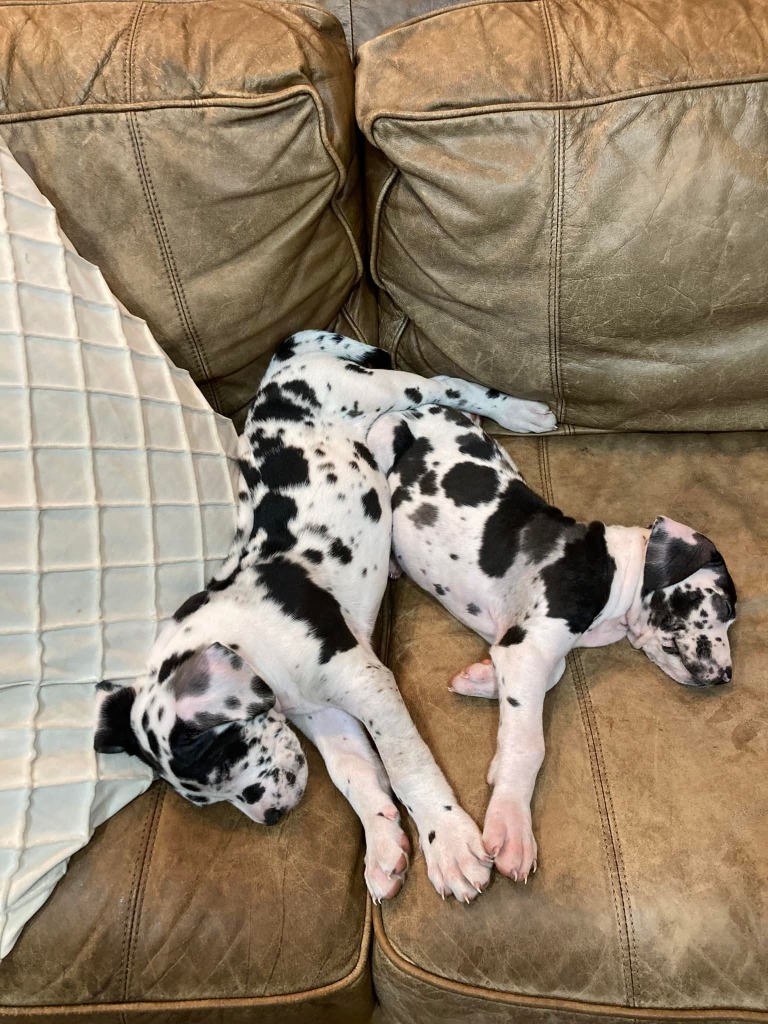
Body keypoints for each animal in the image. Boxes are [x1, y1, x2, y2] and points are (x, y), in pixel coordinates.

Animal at [96, 329, 561, 905]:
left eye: (221, 759)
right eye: (205, 795)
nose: (270, 817)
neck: (257, 643)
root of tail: (280, 369)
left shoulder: (365, 682)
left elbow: (406, 767)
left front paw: (449, 844)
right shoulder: (324, 714)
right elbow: (354, 776)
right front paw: (383, 846)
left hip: (387, 390)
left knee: (446, 385)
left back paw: (521, 411)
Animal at [366, 403, 741, 884]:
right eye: (724, 606)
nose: (726, 676)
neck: (617, 569)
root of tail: (423, 406)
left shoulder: (522, 644)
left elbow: (550, 674)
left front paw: (481, 679)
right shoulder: (527, 649)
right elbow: (529, 743)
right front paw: (511, 822)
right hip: (382, 436)